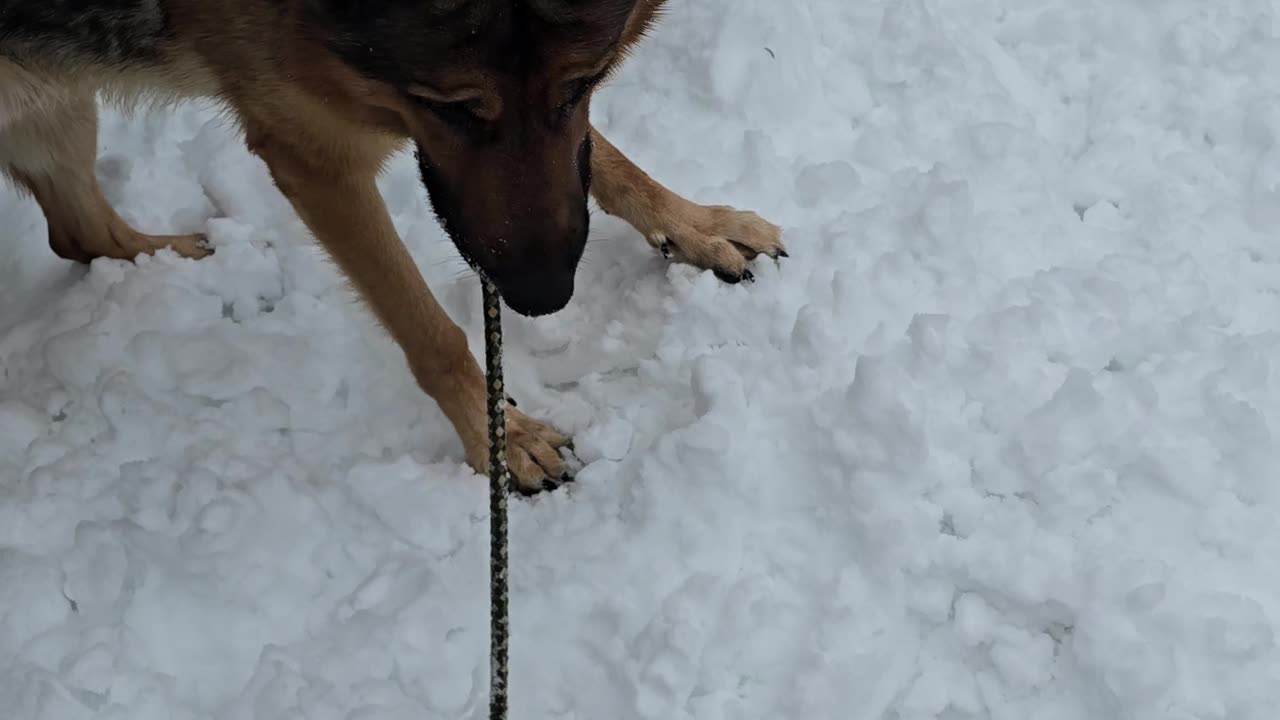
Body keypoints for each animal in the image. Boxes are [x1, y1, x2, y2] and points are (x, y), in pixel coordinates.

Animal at [0, 0, 778, 489]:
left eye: (587, 81)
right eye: (452, 108)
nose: (543, 298)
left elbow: (603, 160)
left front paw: (694, 224)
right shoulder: (318, 154)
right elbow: (430, 331)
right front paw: (500, 438)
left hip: (57, 106)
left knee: (79, 234)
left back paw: (185, 263)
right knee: (75, 233)